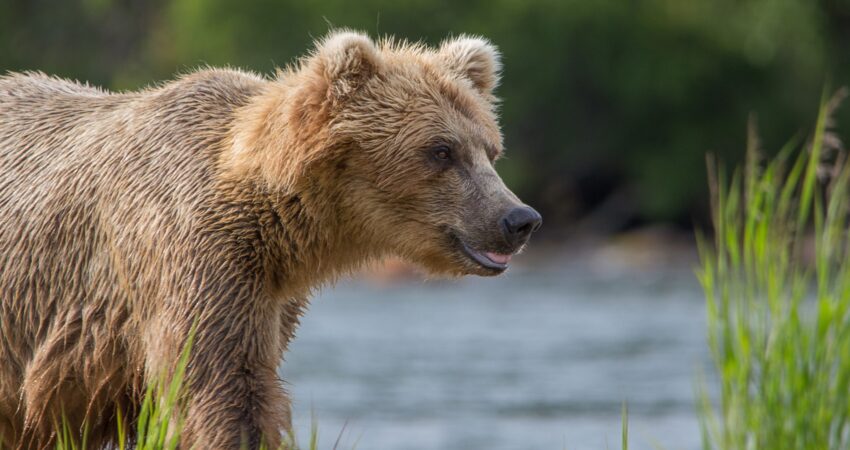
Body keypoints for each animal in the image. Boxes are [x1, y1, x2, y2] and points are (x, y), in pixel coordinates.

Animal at [0, 29, 540, 448]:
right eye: (441, 150)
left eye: (490, 149)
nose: (519, 218)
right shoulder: (193, 255)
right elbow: (222, 384)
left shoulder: (268, 291)